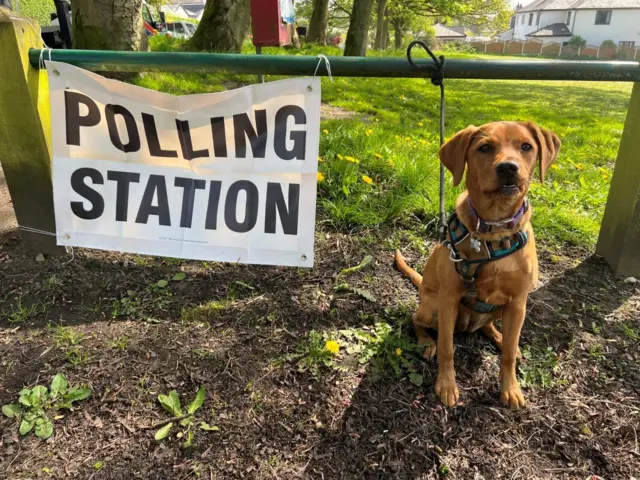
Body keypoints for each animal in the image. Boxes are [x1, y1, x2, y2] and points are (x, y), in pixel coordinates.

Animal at [396, 120, 560, 408]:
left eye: (526, 146)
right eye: (485, 148)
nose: (508, 168)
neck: (495, 230)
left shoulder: (519, 302)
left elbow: (508, 356)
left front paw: (511, 388)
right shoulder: (449, 299)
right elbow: (447, 348)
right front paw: (446, 385)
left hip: (503, 310)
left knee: (490, 328)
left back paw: (502, 338)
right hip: (432, 307)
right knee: (417, 319)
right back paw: (426, 342)